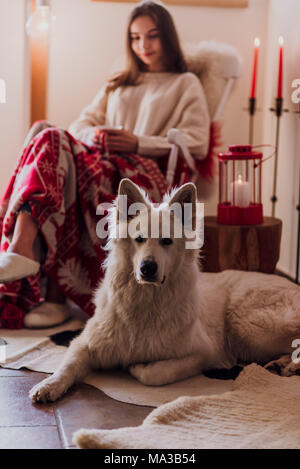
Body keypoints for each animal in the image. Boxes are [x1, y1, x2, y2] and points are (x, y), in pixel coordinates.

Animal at [29, 179, 300, 402]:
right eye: (139, 239)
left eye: (167, 241)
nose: (147, 268)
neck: (145, 303)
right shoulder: (85, 343)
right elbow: (67, 365)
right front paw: (49, 385)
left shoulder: (203, 353)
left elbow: (155, 374)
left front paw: (137, 366)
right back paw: (281, 365)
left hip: (249, 327)